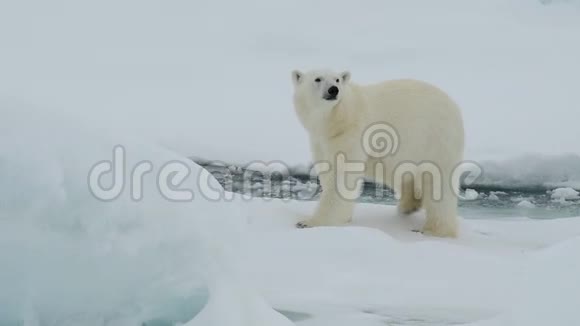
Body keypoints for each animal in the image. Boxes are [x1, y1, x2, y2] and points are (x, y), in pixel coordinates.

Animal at [292, 69, 464, 237]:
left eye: (337, 79)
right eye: (318, 79)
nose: (333, 90)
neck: (336, 119)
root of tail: (454, 105)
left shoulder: (351, 134)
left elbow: (341, 176)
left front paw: (309, 222)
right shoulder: (321, 140)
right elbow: (327, 169)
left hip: (435, 139)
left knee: (438, 182)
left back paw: (435, 230)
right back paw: (408, 206)